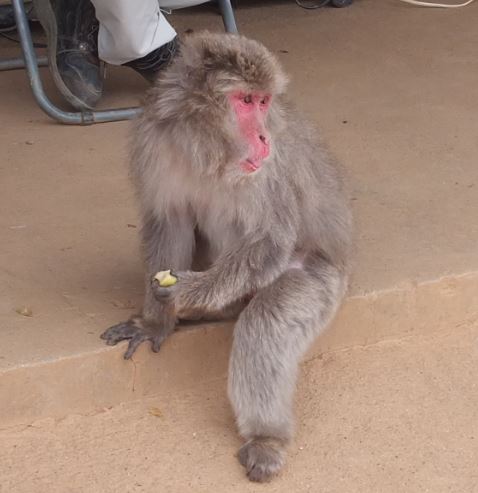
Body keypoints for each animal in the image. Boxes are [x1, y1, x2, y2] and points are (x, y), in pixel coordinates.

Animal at [101, 30, 352, 480]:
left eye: (264, 102)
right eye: (246, 101)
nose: (264, 137)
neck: (207, 150)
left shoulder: (269, 169)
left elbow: (269, 240)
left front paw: (185, 292)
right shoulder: (155, 141)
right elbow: (169, 221)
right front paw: (156, 319)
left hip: (324, 278)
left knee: (265, 319)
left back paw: (266, 437)